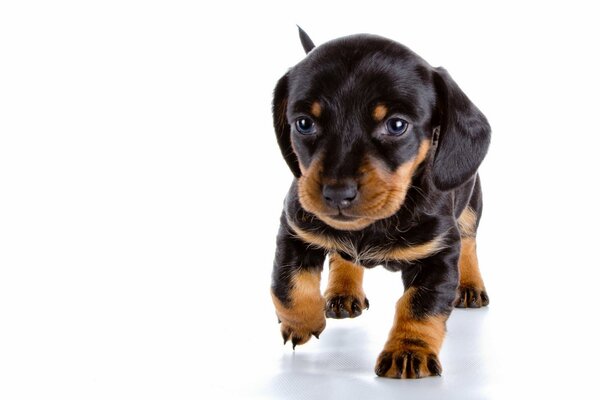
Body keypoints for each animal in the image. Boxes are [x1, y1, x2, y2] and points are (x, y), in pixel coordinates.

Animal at [270, 28, 490, 378]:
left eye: (396, 125)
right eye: (304, 123)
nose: (337, 194)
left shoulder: (438, 254)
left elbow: (419, 307)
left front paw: (408, 351)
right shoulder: (294, 231)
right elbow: (288, 286)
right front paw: (300, 323)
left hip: (470, 207)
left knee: (469, 243)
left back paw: (470, 286)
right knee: (342, 256)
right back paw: (343, 290)